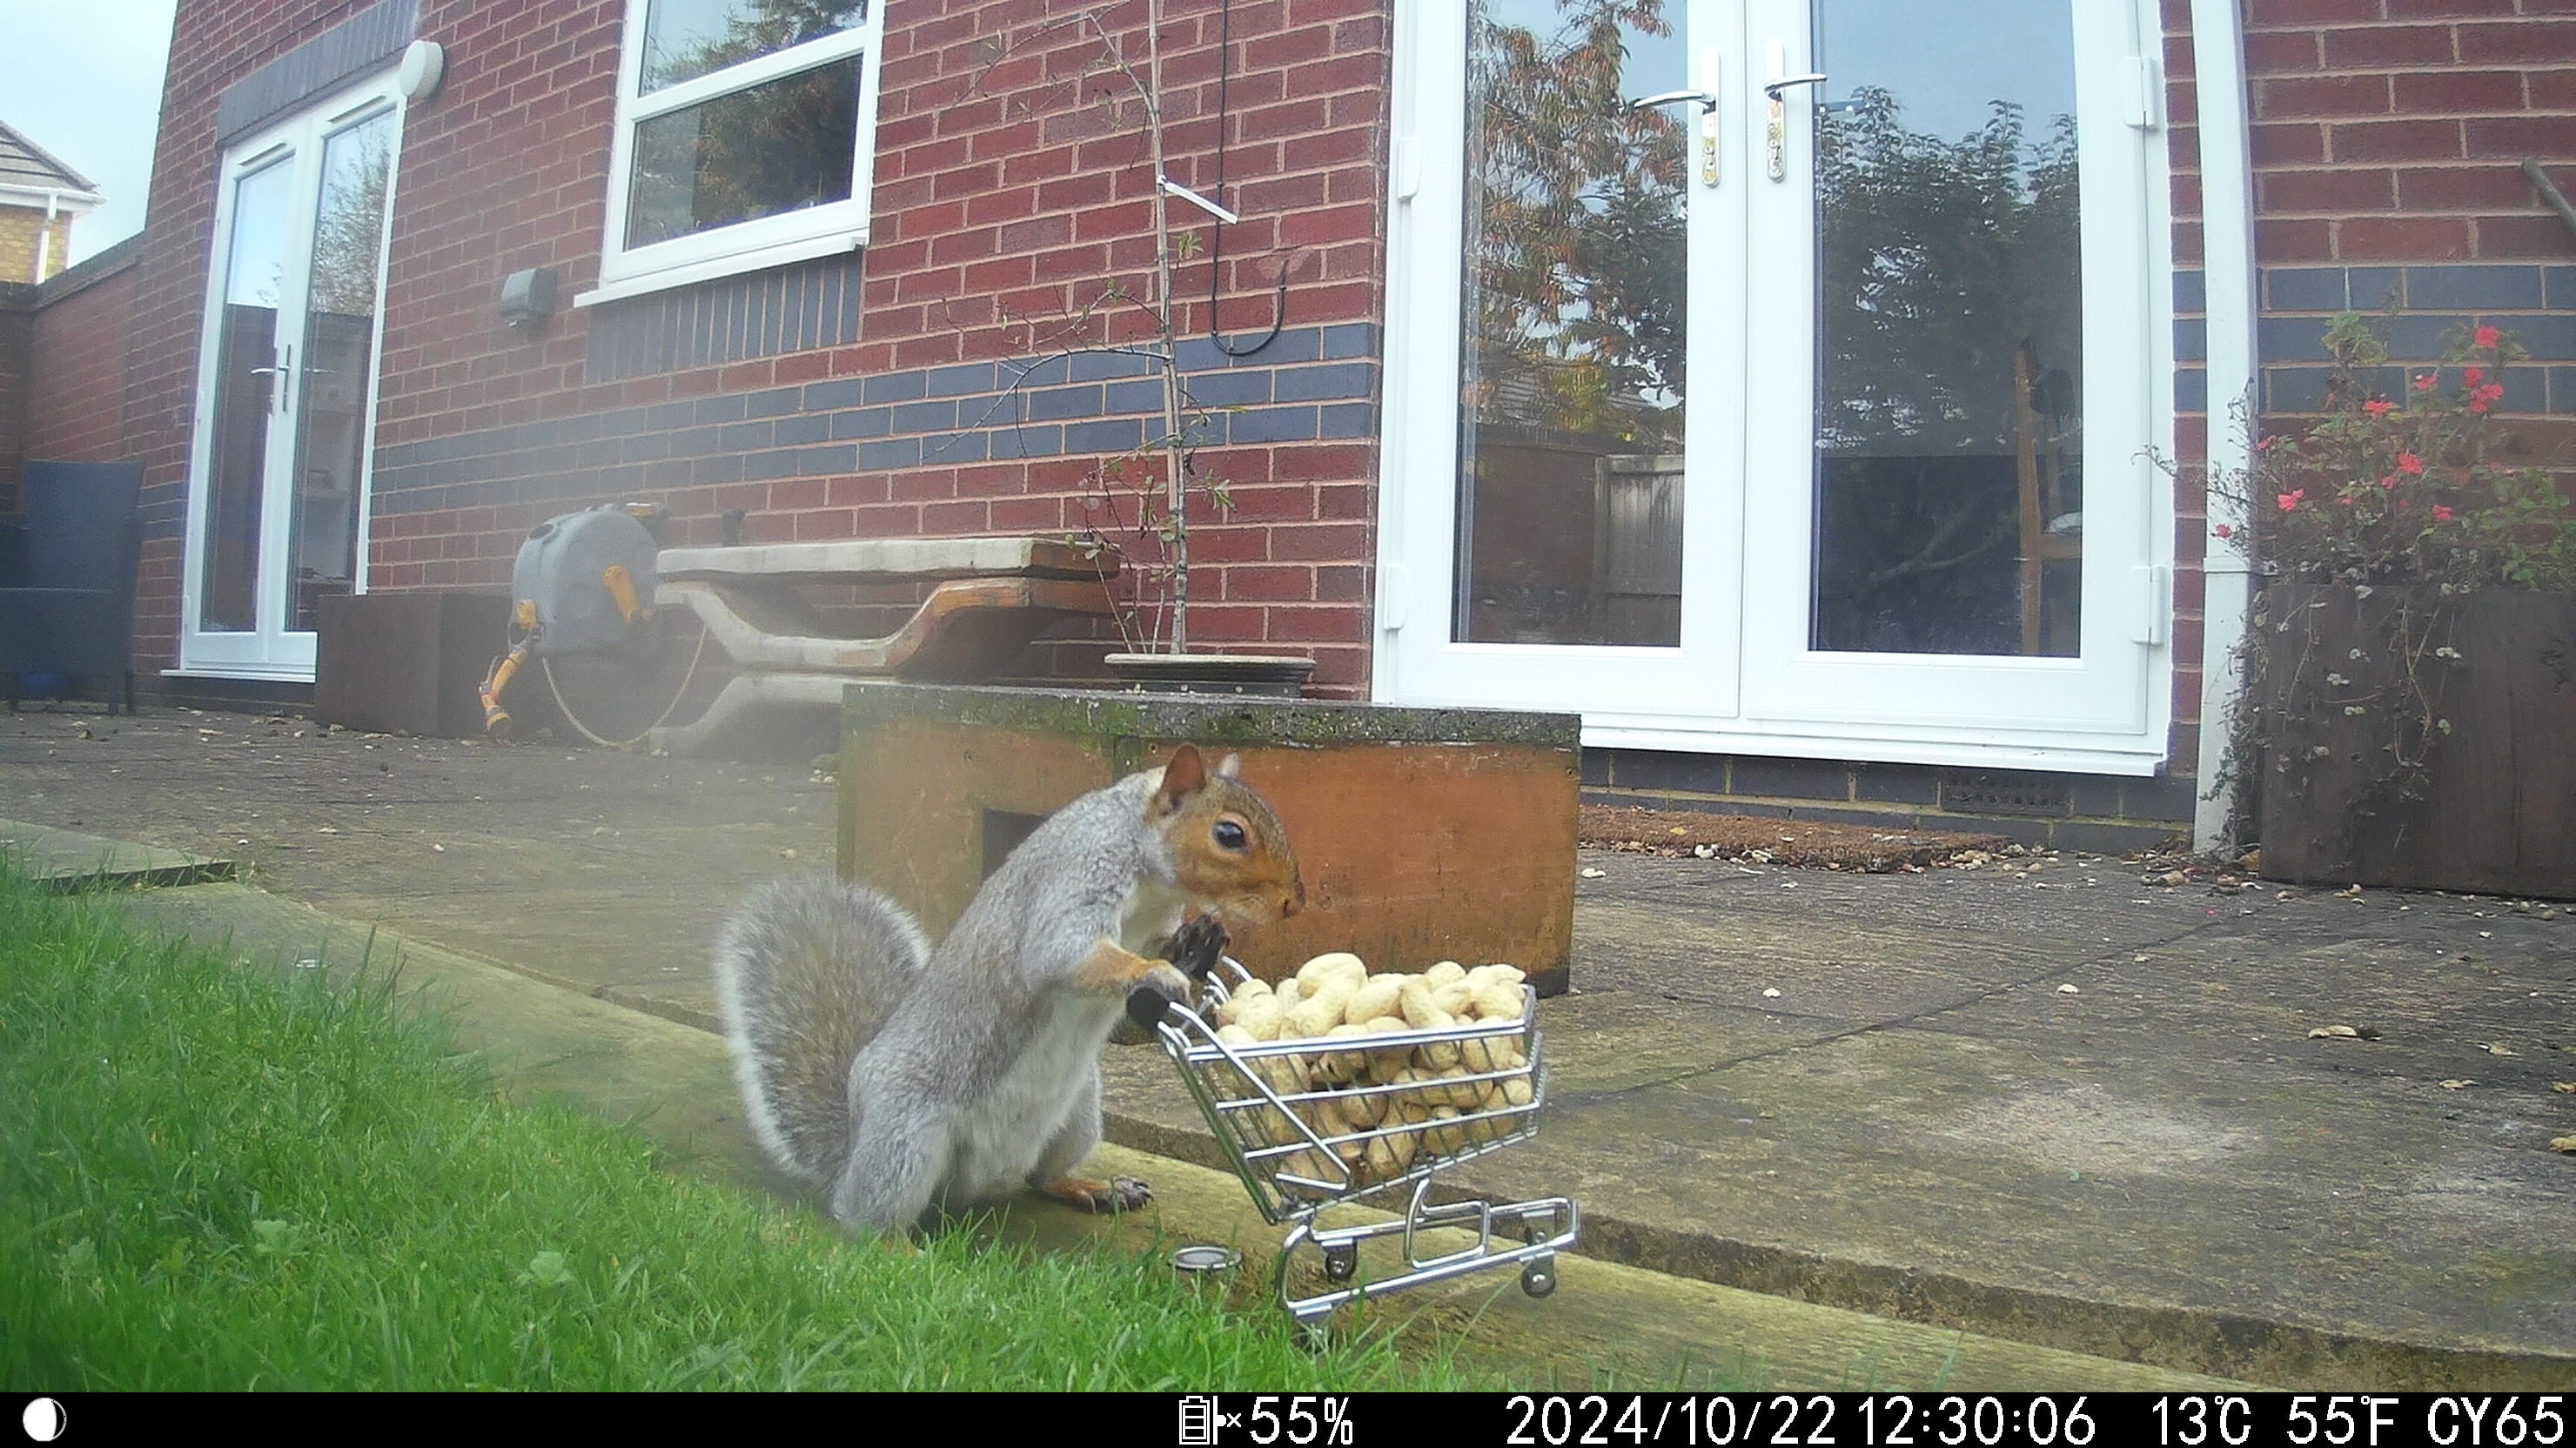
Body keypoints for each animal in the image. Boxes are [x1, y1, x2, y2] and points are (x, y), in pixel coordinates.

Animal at [712, 744, 1305, 1234]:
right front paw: (1154, 974)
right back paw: (897, 1245)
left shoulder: (1153, 923)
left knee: (1041, 1178)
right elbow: (1061, 953)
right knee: (865, 1220)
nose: (1293, 904)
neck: (1151, 881)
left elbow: (1159, 946)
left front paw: (1199, 945)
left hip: (1079, 1114)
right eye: (1229, 834)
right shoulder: (1077, 874)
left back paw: (1095, 1188)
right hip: (905, 1138)